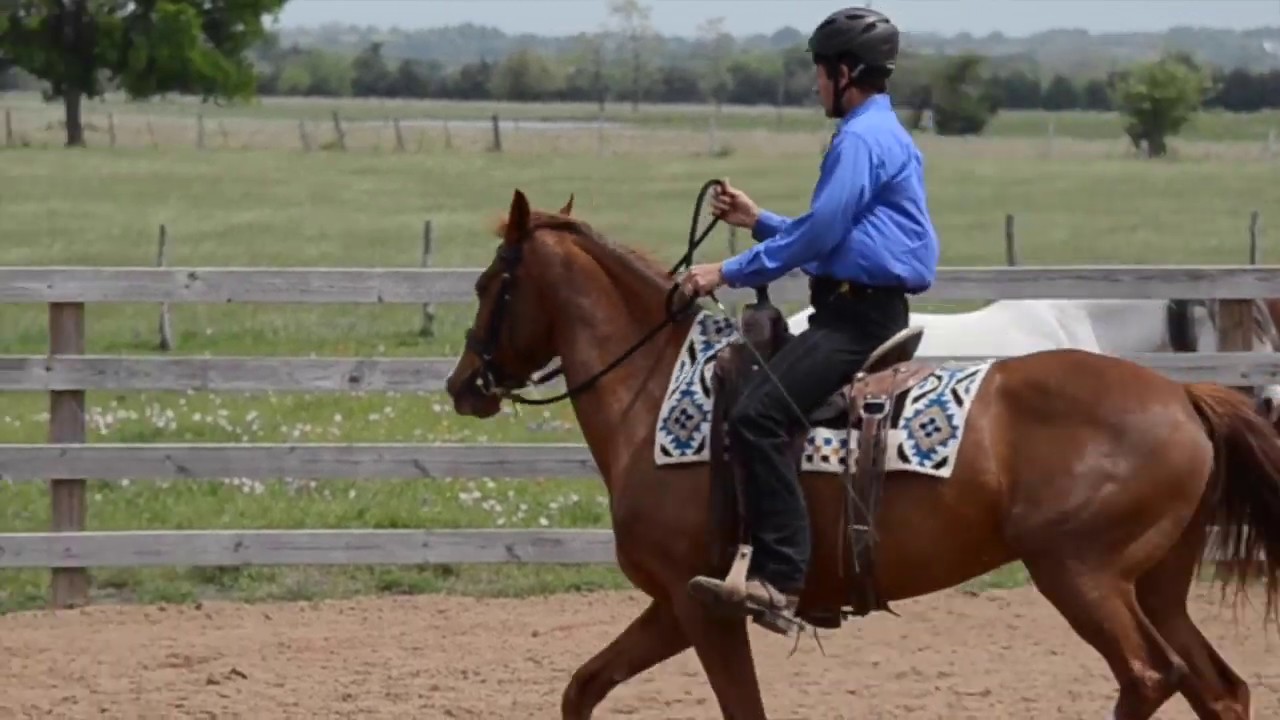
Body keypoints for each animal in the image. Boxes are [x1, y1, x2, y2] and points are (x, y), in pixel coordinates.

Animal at [445, 189, 1280, 720]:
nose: (462, 384)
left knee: (1149, 677)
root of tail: (1184, 398)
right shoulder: (675, 604)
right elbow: (583, 687)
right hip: (1156, 587)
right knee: (1218, 688)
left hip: (1082, 576)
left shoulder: (701, 607)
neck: (658, 389)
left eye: (489, 284)